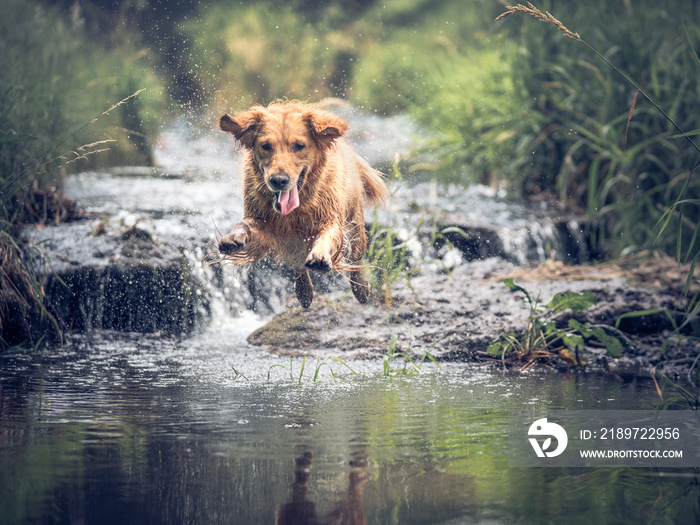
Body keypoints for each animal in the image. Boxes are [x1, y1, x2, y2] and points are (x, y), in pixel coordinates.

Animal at [217, 100, 388, 308]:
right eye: (266, 146)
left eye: (299, 146)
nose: (278, 180)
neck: (296, 210)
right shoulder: (263, 222)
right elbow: (243, 224)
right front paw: (233, 238)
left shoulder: (330, 219)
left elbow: (327, 237)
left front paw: (320, 255)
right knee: (298, 263)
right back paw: (304, 292)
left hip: (355, 224)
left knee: (356, 258)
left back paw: (361, 288)